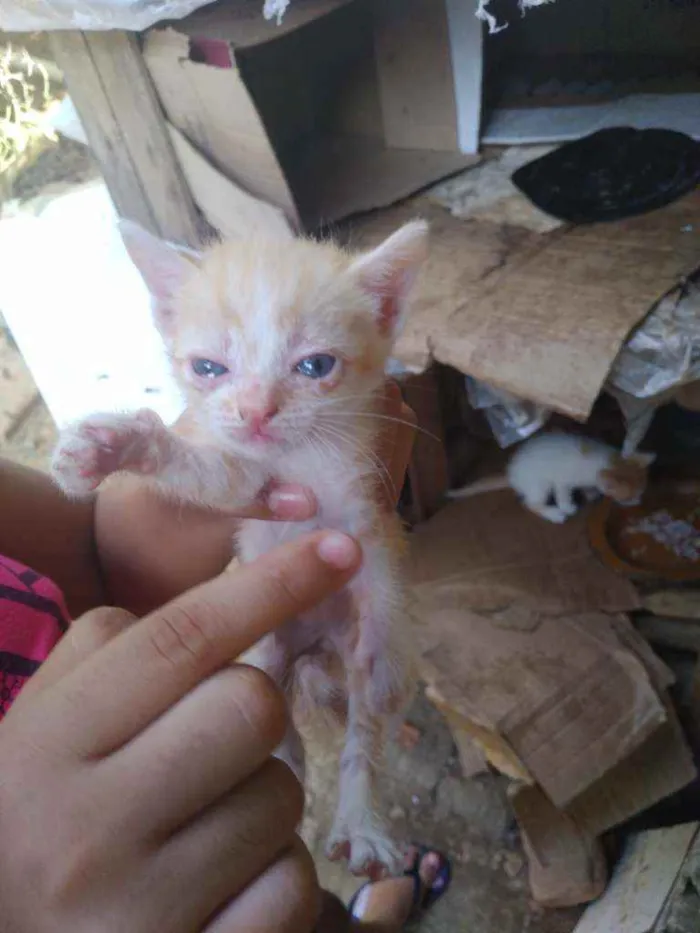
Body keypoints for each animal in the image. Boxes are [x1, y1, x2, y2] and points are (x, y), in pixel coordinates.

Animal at [49, 217, 430, 872]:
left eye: (315, 365)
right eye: (208, 369)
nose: (255, 411)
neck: (298, 459)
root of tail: (312, 645)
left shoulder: (360, 501)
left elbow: (376, 565)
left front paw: (384, 647)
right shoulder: (253, 485)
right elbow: (211, 473)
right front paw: (117, 446)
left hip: (353, 653)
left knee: (362, 730)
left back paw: (360, 818)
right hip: (265, 654)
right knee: (279, 720)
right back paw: (291, 775)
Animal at [452, 432, 652, 520]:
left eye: (642, 493)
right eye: (630, 497)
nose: (639, 502)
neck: (609, 460)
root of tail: (511, 474)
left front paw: (591, 493)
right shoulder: (562, 480)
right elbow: (563, 494)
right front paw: (567, 507)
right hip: (539, 483)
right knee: (530, 503)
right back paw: (554, 514)